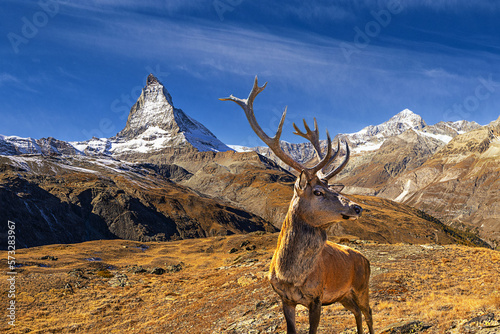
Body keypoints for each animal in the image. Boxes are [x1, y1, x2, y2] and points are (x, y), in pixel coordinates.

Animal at [221, 77, 374, 334]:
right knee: (357, 313)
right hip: (344, 295)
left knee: (369, 312)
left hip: (362, 287)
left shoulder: (317, 298)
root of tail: (366, 259)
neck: (290, 277)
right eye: (318, 191)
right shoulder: (285, 299)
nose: (357, 208)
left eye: (334, 190)